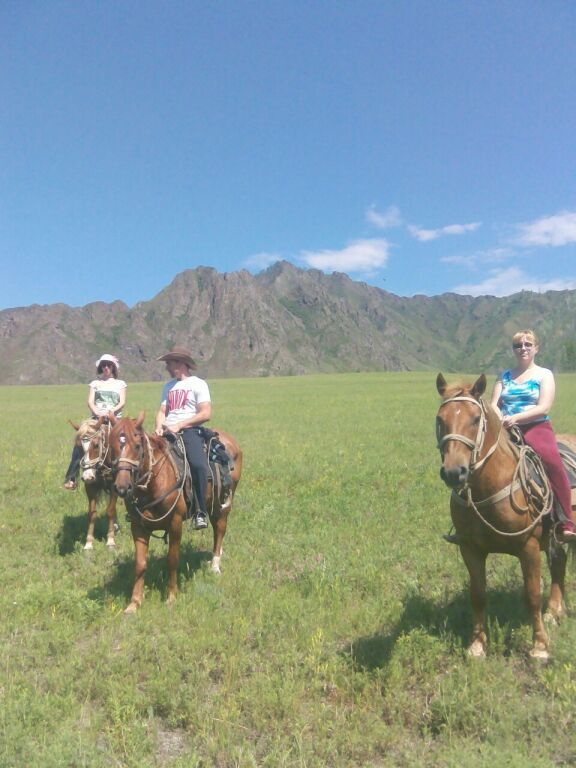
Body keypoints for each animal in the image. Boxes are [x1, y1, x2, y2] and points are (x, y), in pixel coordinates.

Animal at [70, 420, 119, 552]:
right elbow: (92, 514)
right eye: (79, 446)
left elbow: (110, 511)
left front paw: (110, 541)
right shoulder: (90, 487)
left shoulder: (114, 487)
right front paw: (88, 543)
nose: (87, 476)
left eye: (96, 445)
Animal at [108, 412, 243, 616]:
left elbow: (172, 559)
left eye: (137, 446)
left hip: (223, 505)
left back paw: (215, 566)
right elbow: (140, 564)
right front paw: (134, 603)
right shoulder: (138, 526)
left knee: (220, 530)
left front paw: (171, 597)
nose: (122, 487)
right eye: (112, 445)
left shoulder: (175, 522)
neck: (154, 481)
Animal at [434, 374, 568, 660]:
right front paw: (477, 645)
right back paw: (554, 611)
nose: (454, 472)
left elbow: (532, 594)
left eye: (476, 419)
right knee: (559, 562)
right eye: (440, 419)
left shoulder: (528, 547)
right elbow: (478, 594)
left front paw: (540, 646)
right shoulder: (470, 548)